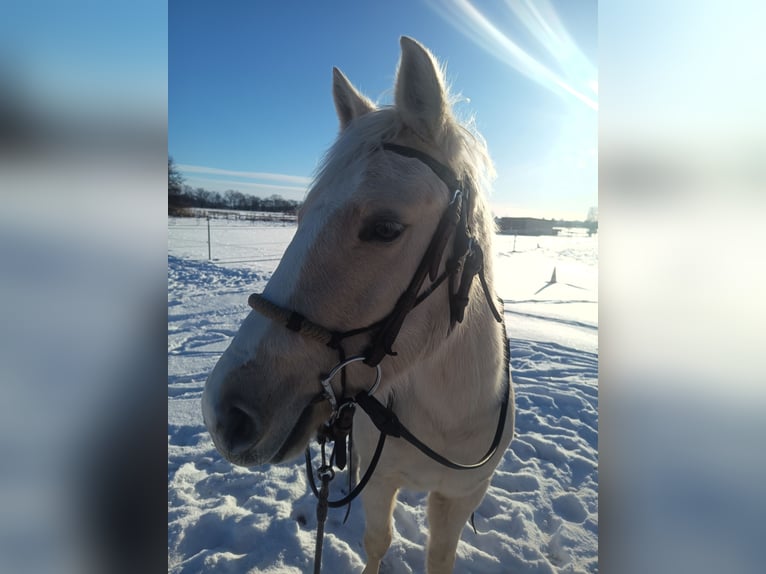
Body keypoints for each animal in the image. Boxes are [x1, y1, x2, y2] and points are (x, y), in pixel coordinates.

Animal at [202, 36, 514, 574]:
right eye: (301, 215)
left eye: (386, 228)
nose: (224, 414)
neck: (444, 415)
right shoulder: (380, 483)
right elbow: (377, 541)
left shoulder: (460, 497)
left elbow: (439, 556)